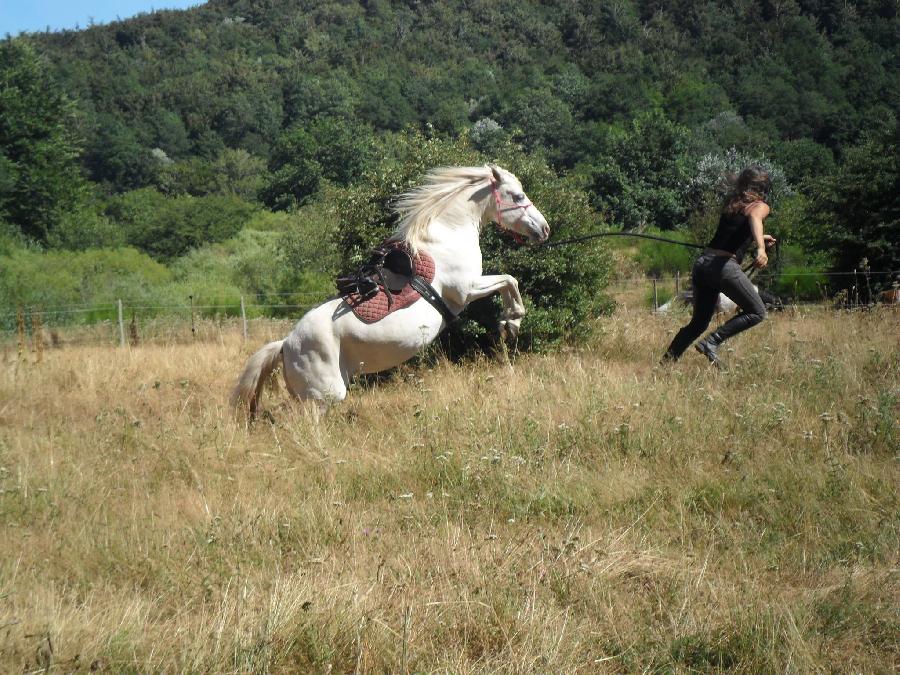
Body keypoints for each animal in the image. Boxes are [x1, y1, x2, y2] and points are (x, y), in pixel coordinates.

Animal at [232, 166, 548, 414]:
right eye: (518, 196)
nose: (544, 229)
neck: (448, 234)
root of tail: (285, 344)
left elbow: (509, 282)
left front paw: (509, 323)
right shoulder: (466, 290)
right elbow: (509, 280)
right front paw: (512, 320)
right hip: (323, 397)